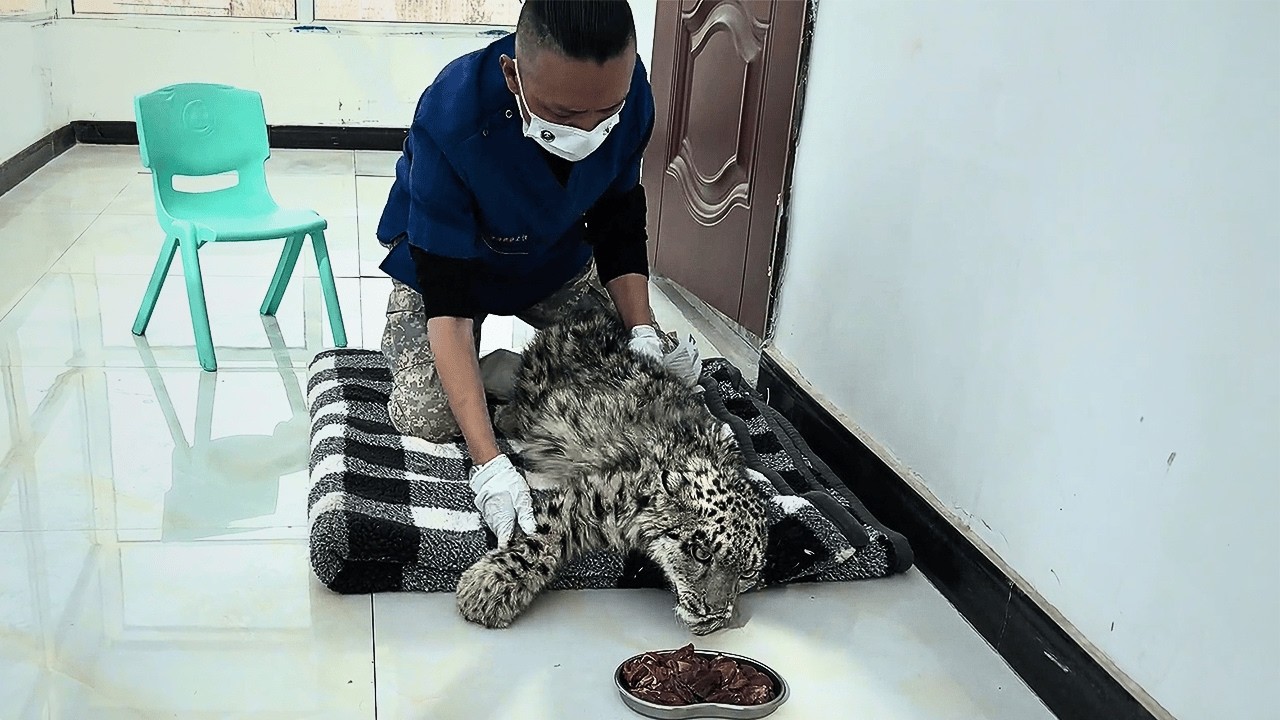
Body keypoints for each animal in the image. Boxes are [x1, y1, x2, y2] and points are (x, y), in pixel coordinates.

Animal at [454, 308, 768, 635]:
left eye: (747, 572)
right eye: (701, 553)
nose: (715, 612)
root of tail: (585, 319)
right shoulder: (599, 495)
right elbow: (545, 532)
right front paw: (487, 588)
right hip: (533, 390)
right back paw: (503, 416)